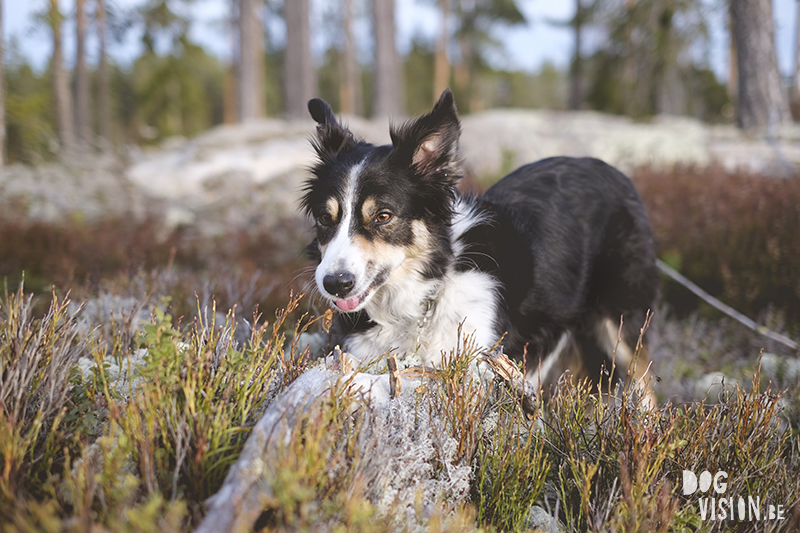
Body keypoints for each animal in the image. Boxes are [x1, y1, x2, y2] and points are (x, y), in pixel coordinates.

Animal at [300, 89, 656, 392]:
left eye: (383, 216)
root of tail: (614, 170)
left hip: (621, 321)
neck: (421, 301)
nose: (335, 284)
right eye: (324, 218)